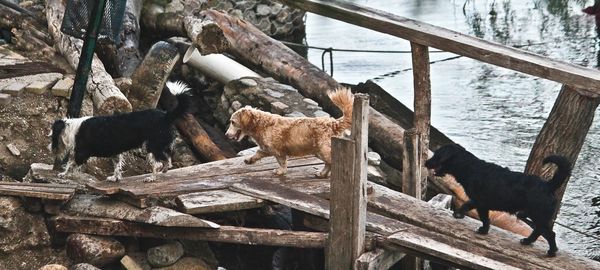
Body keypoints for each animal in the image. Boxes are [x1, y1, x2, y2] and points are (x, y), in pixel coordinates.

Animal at [51, 80, 193, 181]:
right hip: (160, 144)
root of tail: (166, 116)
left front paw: (64, 174)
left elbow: (70, 163)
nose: (50, 148)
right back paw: (164, 170)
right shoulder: (115, 153)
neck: (72, 128)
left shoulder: (81, 153)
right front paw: (115, 178)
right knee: (168, 159)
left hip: (151, 146)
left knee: (157, 164)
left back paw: (151, 178)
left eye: (52, 136)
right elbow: (117, 166)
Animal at [226, 87, 356, 178]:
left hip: (323, 150)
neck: (261, 124)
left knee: (331, 162)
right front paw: (249, 160)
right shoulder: (267, 148)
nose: (226, 135)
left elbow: (281, 162)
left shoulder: (277, 150)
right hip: (318, 151)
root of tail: (334, 122)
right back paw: (322, 174)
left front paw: (280, 171)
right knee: (328, 164)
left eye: (232, 122)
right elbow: (258, 153)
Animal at [424, 143, 568, 258]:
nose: (426, 162)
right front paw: (477, 226)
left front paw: (469, 221)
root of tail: (548, 185)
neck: (470, 168)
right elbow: (478, 213)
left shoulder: (480, 201)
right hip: (537, 216)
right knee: (539, 231)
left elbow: (475, 211)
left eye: (437, 155)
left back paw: (551, 252)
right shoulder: (481, 203)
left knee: (550, 234)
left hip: (538, 215)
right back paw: (527, 241)